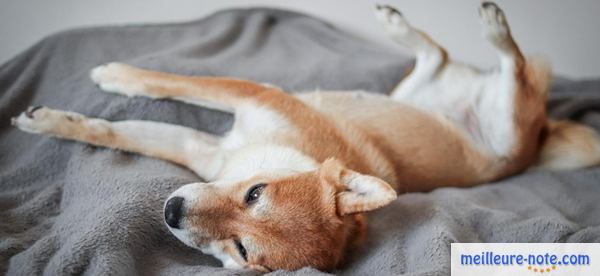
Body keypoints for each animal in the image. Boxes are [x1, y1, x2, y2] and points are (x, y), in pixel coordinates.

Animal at [10, 1, 600, 272]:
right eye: (255, 193)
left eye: (241, 248)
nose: (172, 212)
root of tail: (538, 136)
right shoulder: (239, 114)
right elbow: (152, 98)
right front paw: (99, 88)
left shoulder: (206, 152)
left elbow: (132, 127)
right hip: (416, 93)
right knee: (444, 54)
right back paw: (431, 26)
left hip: (507, 129)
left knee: (513, 65)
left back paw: (494, 32)